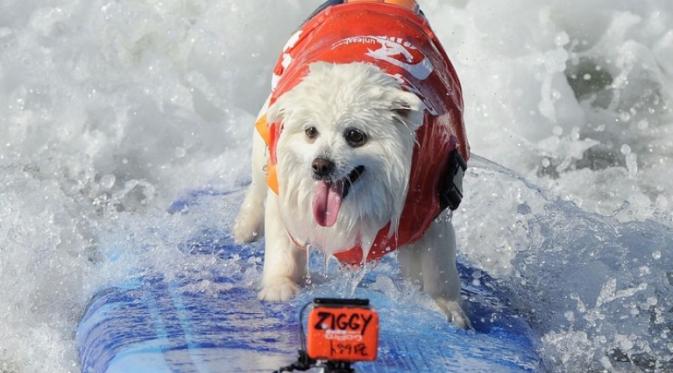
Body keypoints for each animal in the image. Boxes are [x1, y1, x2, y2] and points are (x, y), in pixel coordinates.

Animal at [231, 0, 468, 326]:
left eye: (355, 135)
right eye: (310, 132)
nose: (320, 165)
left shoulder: (432, 205)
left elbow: (438, 267)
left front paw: (448, 307)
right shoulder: (287, 187)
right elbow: (283, 242)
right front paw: (279, 286)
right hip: (266, 128)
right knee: (257, 184)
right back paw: (245, 228)